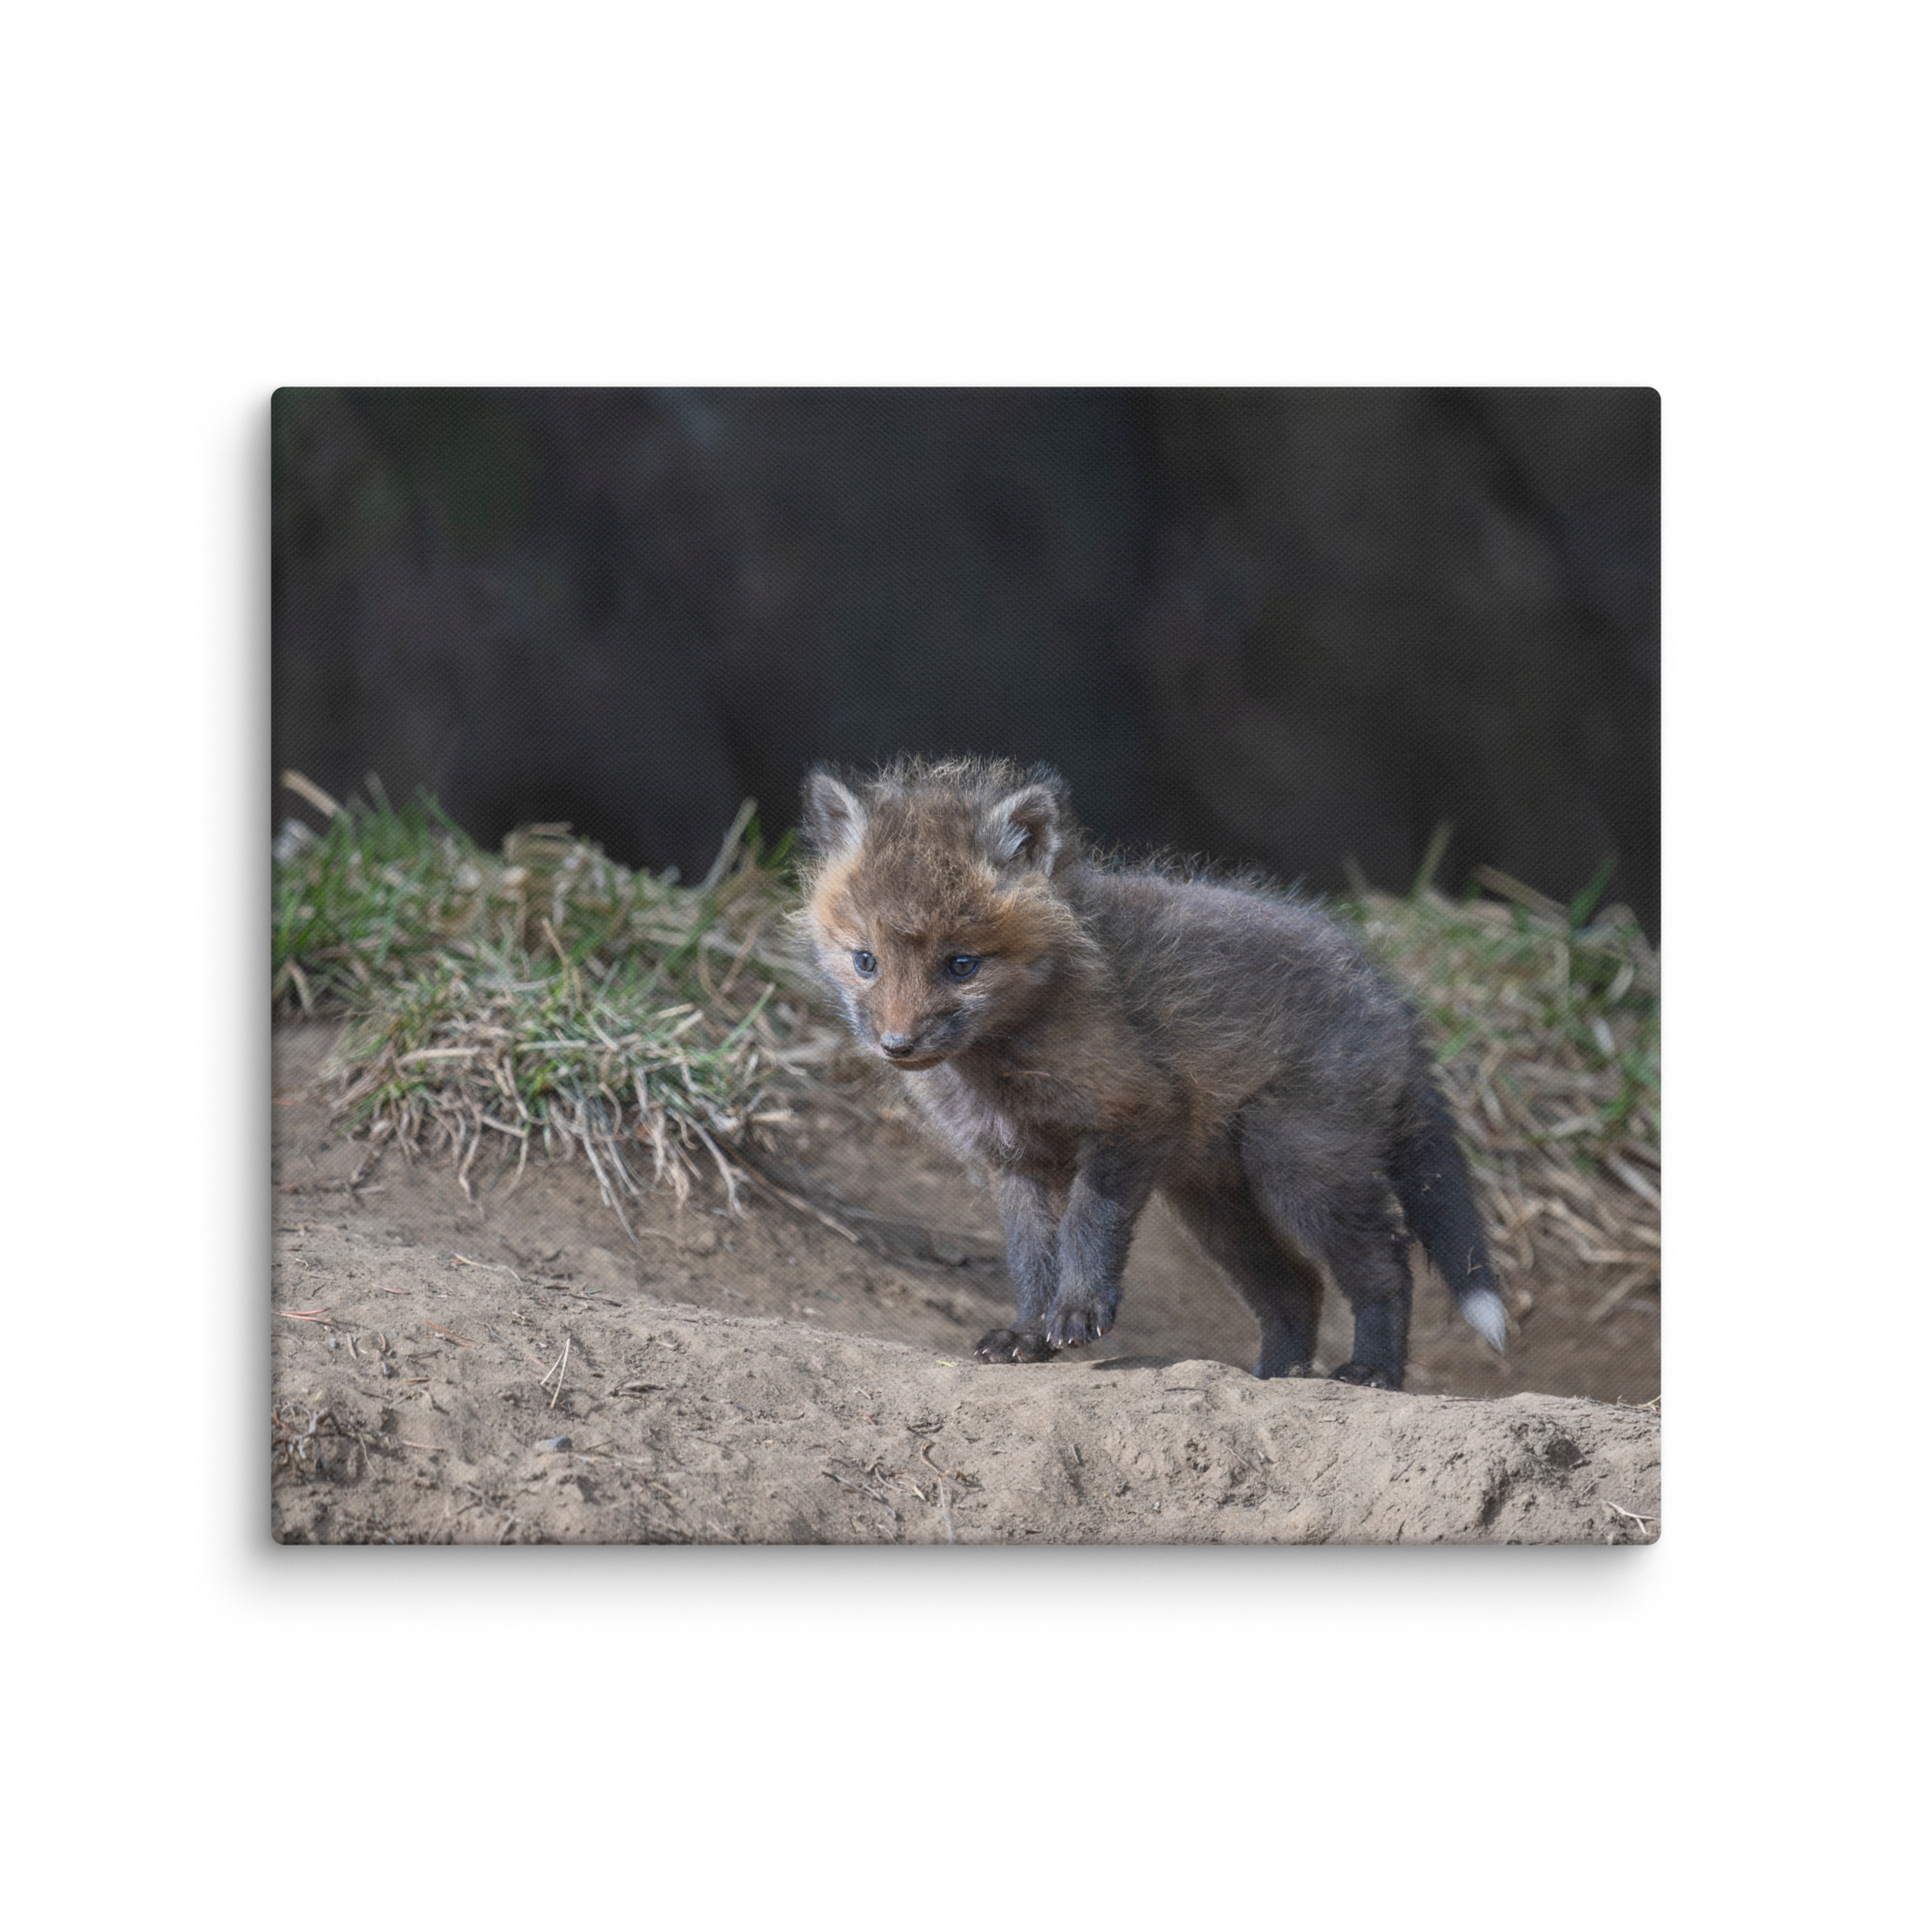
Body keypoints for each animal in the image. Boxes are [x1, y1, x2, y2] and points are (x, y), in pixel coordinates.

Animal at [797, 755, 1508, 1388]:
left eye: (961, 964)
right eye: (865, 961)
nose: (897, 1045)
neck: (1003, 1066)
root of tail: (1392, 998)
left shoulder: (1134, 1113)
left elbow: (1088, 1225)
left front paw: (1079, 1311)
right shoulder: (1013, 1161)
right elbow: (1031, 1259)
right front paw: (1029, 1333)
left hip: (1299, 1169)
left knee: (1386, 1264)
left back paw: (1373, 1371)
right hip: (1215, 1204)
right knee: (1297, 1286)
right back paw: (1275, 1377)